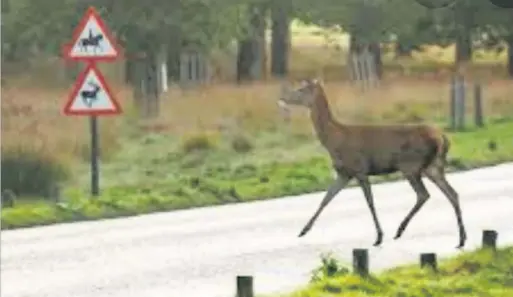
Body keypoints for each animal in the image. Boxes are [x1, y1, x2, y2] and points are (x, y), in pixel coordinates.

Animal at [278, 78, 466, 247]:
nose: (283, 98)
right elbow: (326, 198)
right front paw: (303, 230)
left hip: (411, 165)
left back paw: (400, 230)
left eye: (301, 89)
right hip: (433, 166)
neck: (334, 140)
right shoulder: (344, 173)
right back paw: (461, 239)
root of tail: (442, 137)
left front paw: (379, 236)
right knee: (452, 193)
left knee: (424, 194)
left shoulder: (359, 168)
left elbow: (370, 202)